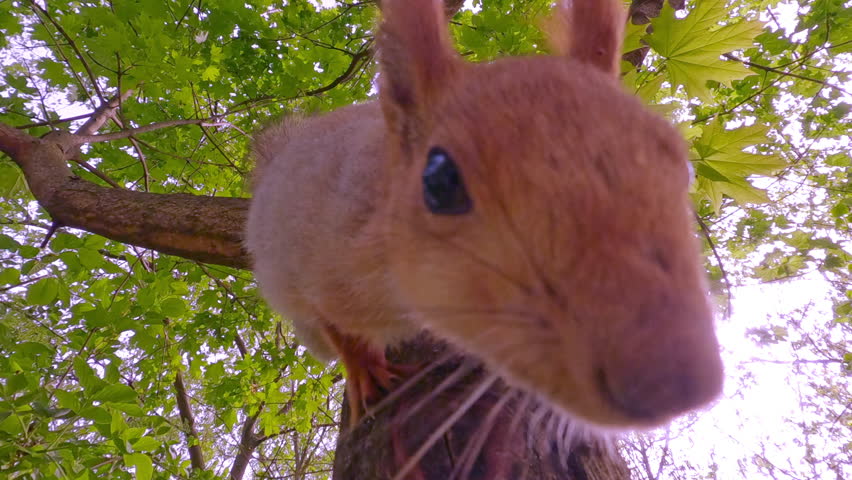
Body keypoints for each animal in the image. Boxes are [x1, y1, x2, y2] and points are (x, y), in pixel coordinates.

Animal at [246, 0, 724, 431]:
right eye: (439, 181)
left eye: (684, 165)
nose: (677, 383)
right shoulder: (307, 257)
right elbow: (336, 328)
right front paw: (363, 369)